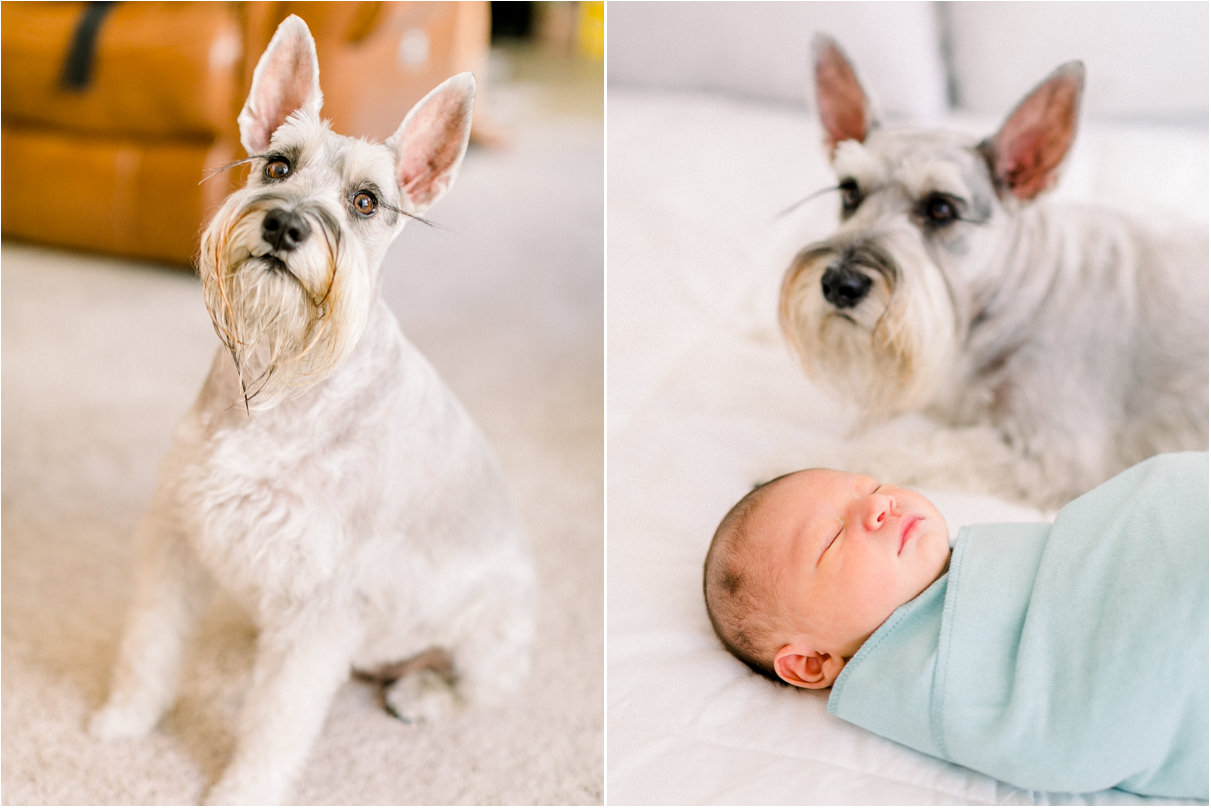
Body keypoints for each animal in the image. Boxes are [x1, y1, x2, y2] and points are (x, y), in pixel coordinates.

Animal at [87, 15, 532, 804]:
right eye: (276, 165)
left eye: (366, 201)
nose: (286, 227)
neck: (280, 386)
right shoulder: (176, 537)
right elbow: (149, 647)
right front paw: (125, 720)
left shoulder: (320, 604)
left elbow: (278, 715)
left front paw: (242, 791)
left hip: (490, 629)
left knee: (476, 685)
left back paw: (422, 695)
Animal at [779, 34, 1206, 508]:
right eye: (849, 192)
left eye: (941, 208)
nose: (839, 284)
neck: (1025, 298)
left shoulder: (1054, 454)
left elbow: (916, 445)